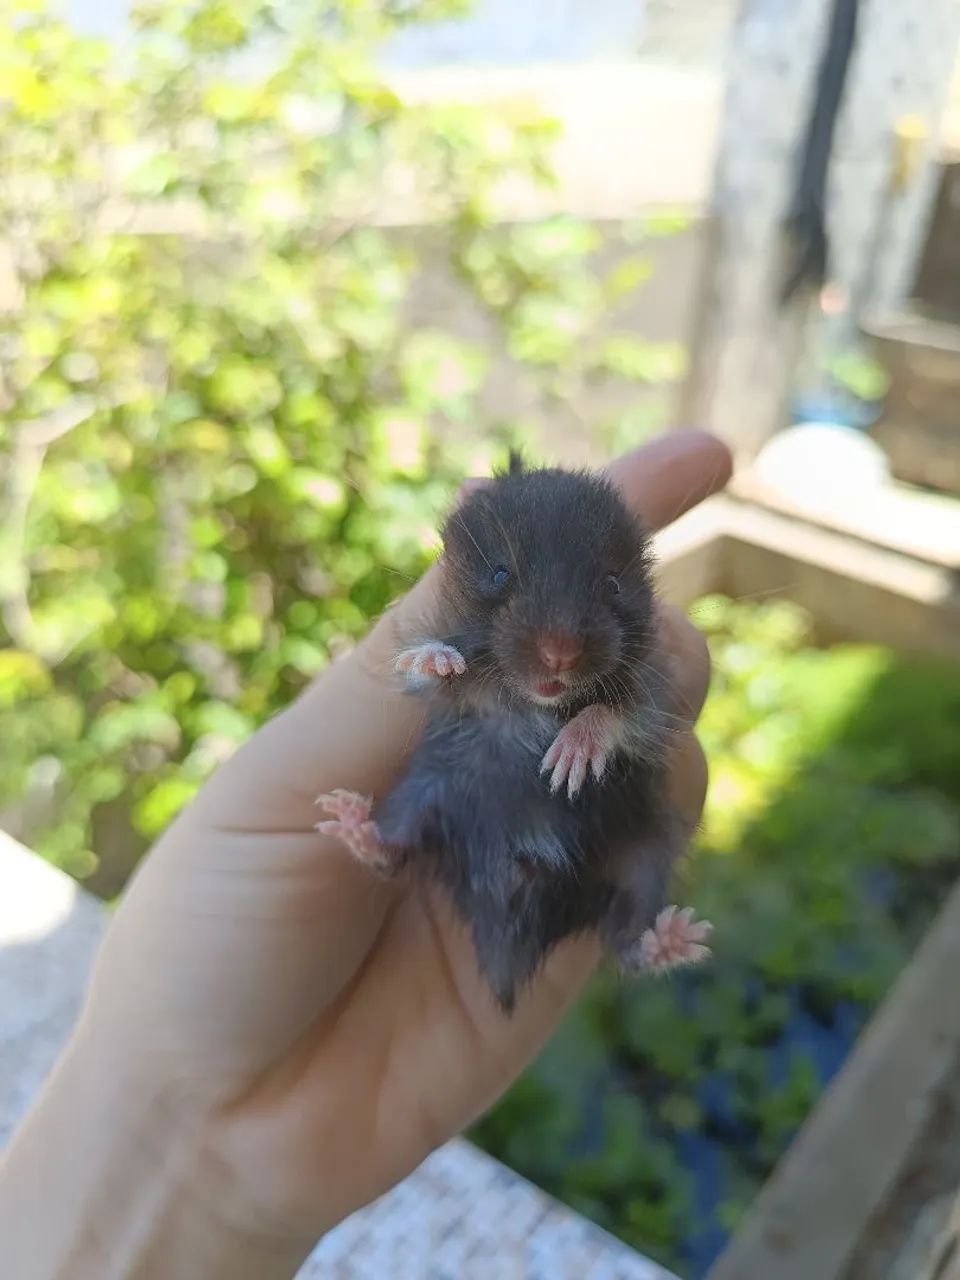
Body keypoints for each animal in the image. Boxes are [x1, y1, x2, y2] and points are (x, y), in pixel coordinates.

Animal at [317, 454, 711, 1012]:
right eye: (500, 573)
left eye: (613, 584)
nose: (559, 654)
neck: (534, 703)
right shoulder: (448, 705)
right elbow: (433, 675)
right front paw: (438, 659)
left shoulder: (656, 693)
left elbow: (622, 714)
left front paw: (571, 755)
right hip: (424, 794)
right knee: (394, 851)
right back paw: (353, 825)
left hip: (642, 853)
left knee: (626, 936)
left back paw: (671, 941)